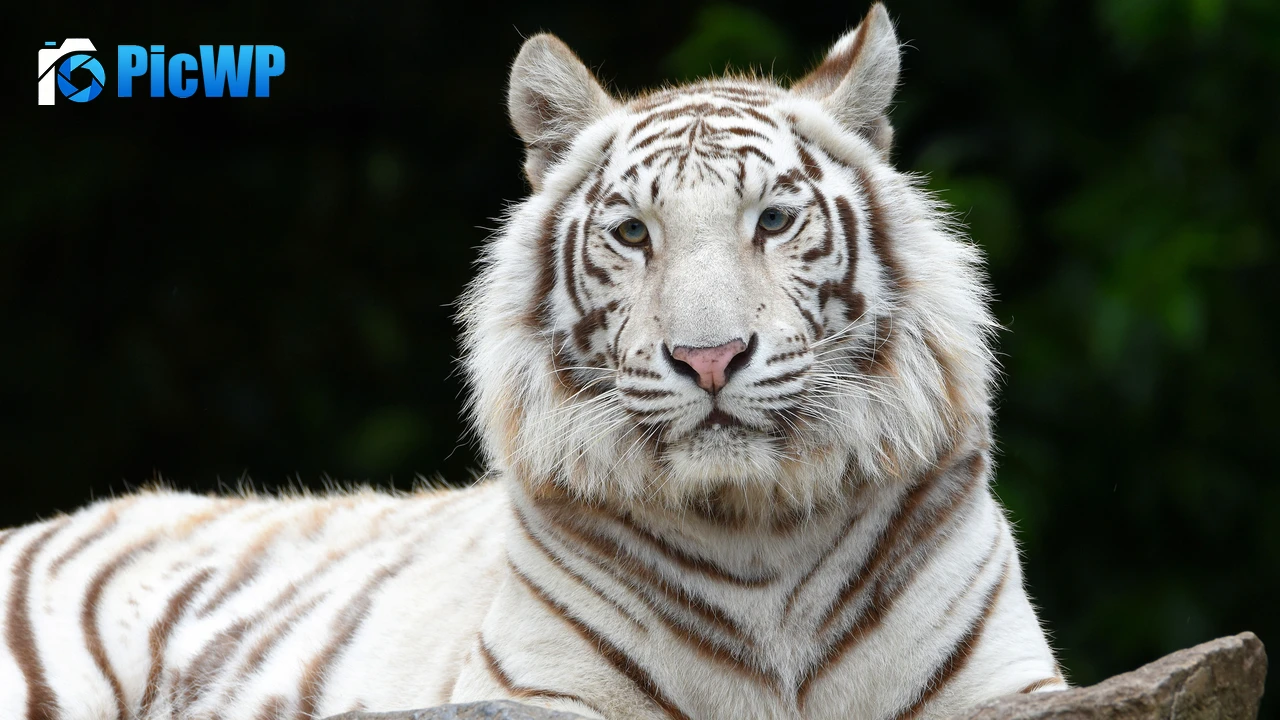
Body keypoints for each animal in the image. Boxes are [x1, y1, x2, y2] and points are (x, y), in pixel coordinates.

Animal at [0, 4, 1066, 719]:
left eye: (772, 219)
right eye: (634, 233)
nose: (710, 357)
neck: (757, 530)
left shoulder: (1012, 684)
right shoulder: (537, 691)